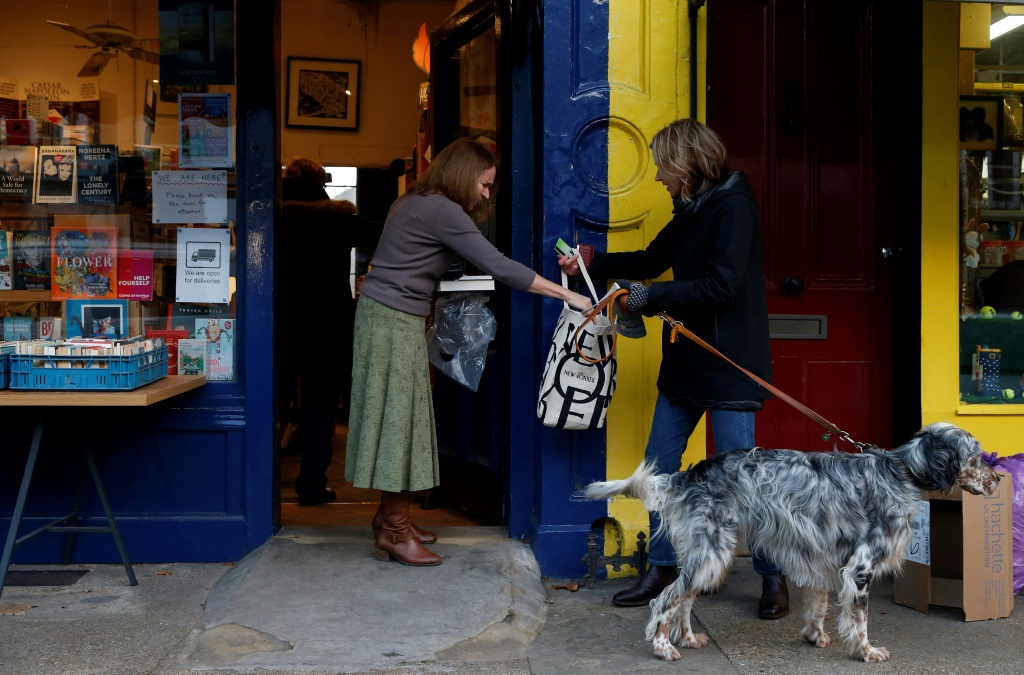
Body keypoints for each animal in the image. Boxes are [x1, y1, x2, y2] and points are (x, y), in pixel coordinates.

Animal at [585, 426, 999, 663]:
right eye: (975, 457)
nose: (997, 479)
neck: (903, 472)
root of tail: (688, 475)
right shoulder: (860, 568)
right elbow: (860, 620)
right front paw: (866, 652)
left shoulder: (824, 561)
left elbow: (818, 605)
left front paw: (815, 636)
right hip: (710, 555)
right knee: (664, 600)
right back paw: (663, 648)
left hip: (707, 557)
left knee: (683, 599)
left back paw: (687, 639)